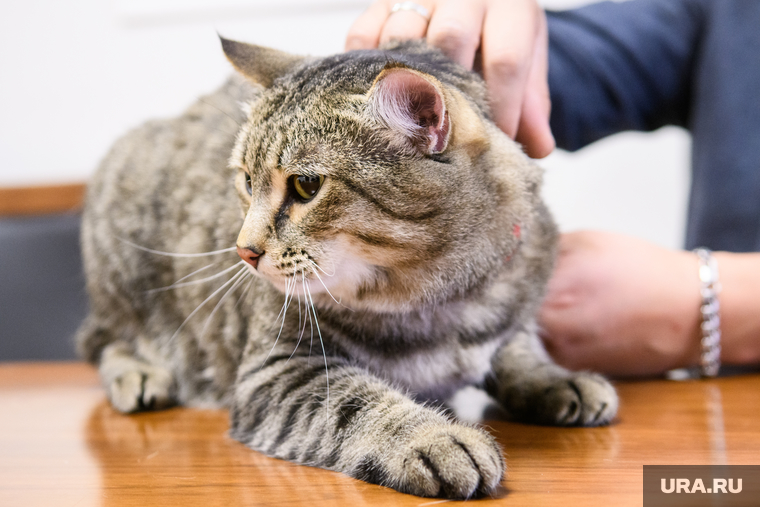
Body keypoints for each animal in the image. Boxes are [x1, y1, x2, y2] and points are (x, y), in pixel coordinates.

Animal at [78, 36, 616, 500]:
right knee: (107, 341)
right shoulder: (277, 371)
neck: (439, 303)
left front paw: (556, 377)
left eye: (305, 186)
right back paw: (140, 376)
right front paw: (433, 437)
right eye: (247, 181)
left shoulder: (510, 304)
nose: (243, 251)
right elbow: (356, 403)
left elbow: (518, 346)